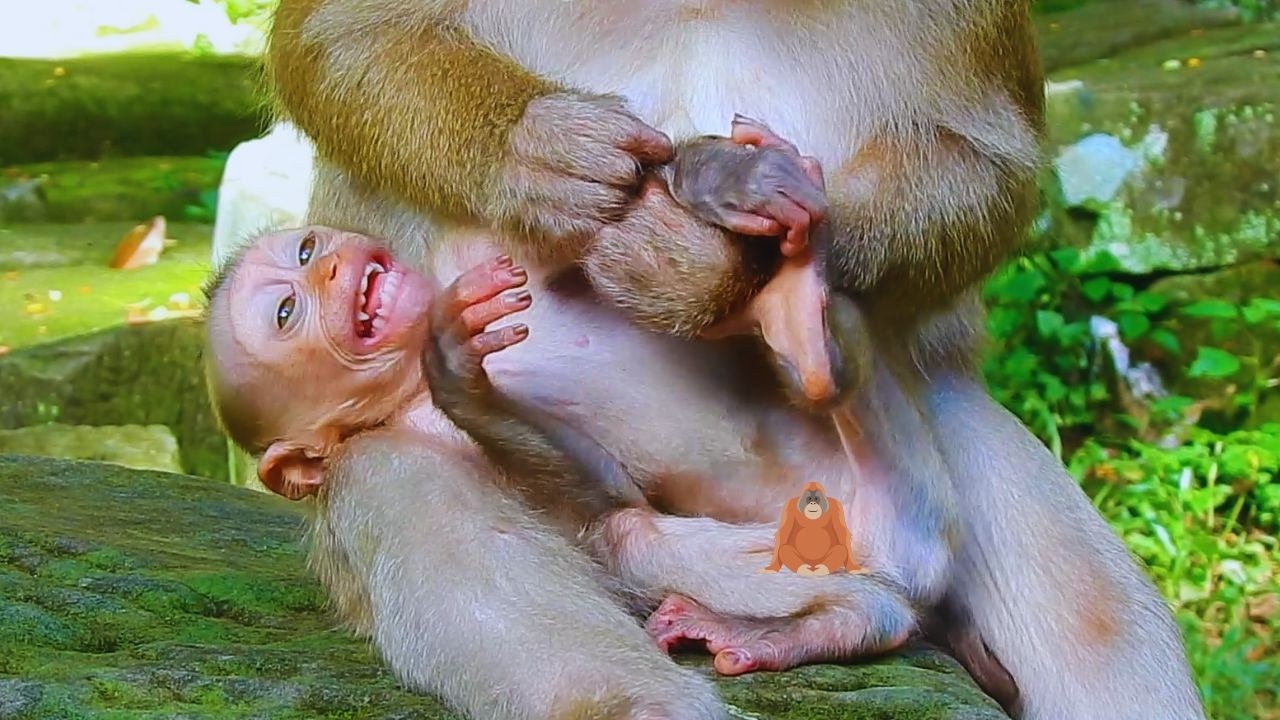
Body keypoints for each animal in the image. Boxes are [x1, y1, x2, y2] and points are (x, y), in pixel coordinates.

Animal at [264, 2, 1207, 719]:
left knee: (1098, 626)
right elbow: (335, 36)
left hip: (934, 439)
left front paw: (708, 255)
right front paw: (542, 151)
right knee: (414, 489)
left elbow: (990, 159)